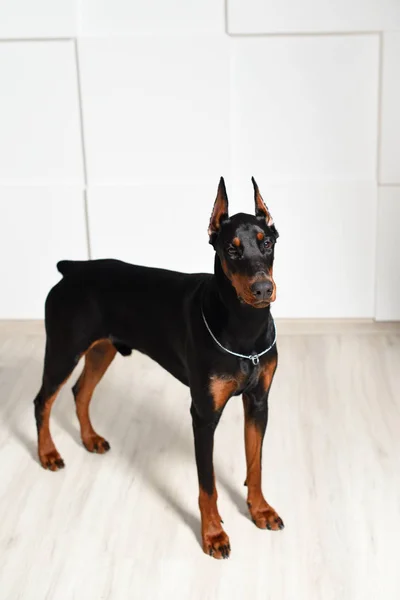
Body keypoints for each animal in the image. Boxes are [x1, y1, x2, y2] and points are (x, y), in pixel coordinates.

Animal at [34, 177, 284, 556]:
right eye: (232, 250)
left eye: (266, 242)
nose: (262, 289)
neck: (245, 329)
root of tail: (72, 269)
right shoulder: (203, 415)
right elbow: (207, 483)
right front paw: (213, 533)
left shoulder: (258, 402)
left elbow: (255, 464)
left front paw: (260, 510)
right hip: (64, 350)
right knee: (43, 401)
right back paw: (47, 453)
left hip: (102, 350)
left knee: (80, 391)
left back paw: (90, 438)